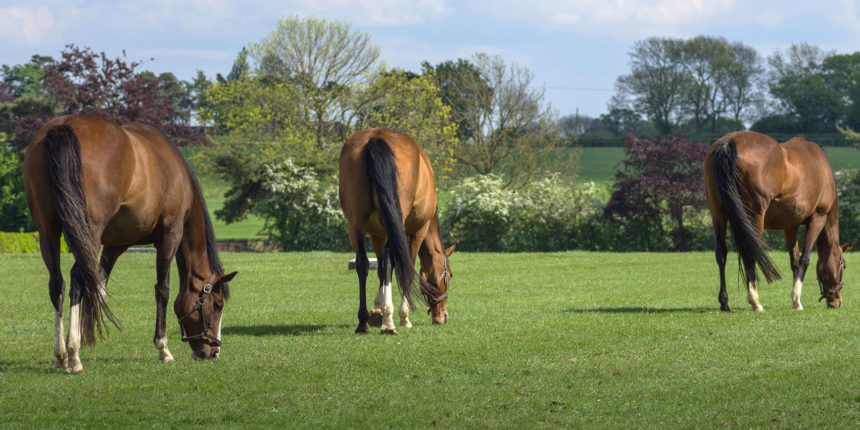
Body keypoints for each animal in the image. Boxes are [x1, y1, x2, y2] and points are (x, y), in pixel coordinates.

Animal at [24, 114, 239, 372]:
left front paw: (84, 337)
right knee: (76, 278)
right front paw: (163, 349)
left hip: (48, 232)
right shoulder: (170, 235)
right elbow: (162, 290)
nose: (213, 351)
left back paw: (61, 355)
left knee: (57, 283)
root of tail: (65, 126)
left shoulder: (114, 245)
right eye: (217, 305)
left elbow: (98, 289)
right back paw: (73, 356)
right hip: (88, 233)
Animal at [338, 126, 454, 334]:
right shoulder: (418, 230)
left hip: (355, 224)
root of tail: (376, 138)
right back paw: (390, 322)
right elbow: (406, 267)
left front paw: (378, 308)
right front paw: (400, 316)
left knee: (362, 264)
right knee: (395, 263)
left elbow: (381, 268)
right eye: (448, 274)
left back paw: (363, 322)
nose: (443, 316)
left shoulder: (377, 233)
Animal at [704, 131, 852, 312]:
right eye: (843, 265)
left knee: (721, 253)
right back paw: (755, 302)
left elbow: (794, 261)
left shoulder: (790, 226)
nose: (837, 301)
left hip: (718, 214)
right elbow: (805, 259)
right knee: (750, 254)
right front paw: (797, 301)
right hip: (755, 217)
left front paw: (797, 300)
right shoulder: (818, 218)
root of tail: (728, 142)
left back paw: (724, 302)